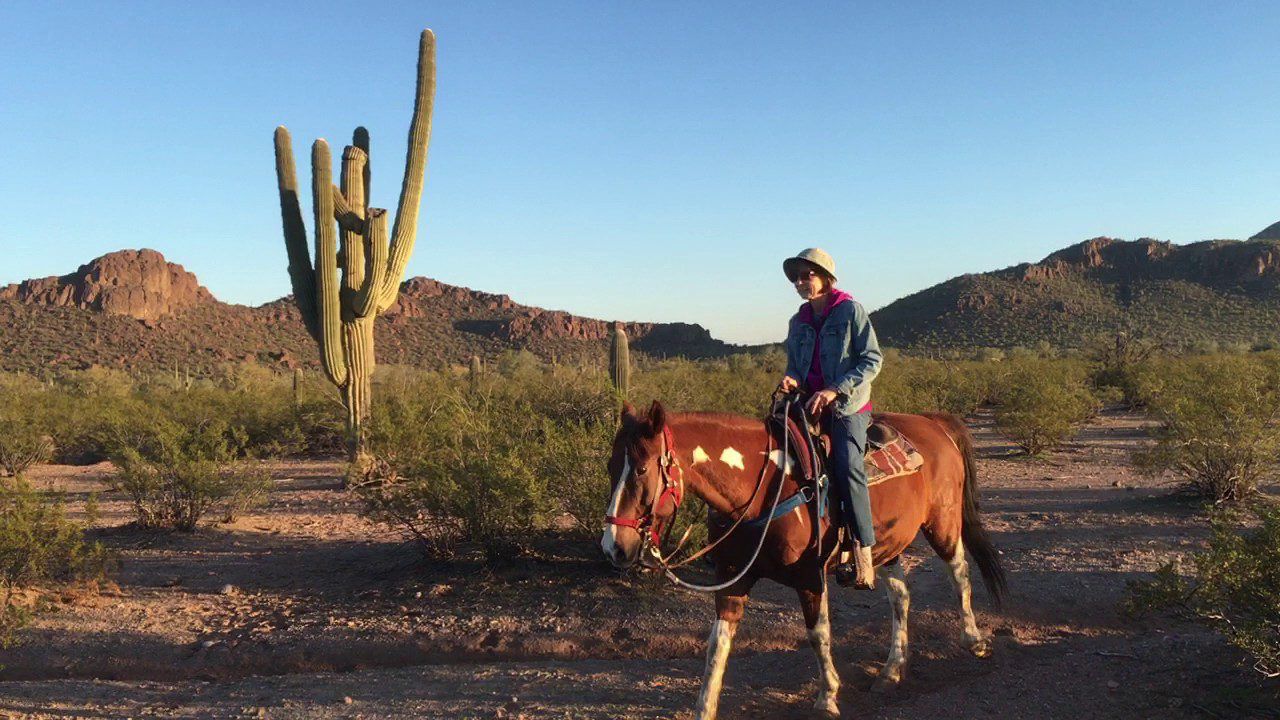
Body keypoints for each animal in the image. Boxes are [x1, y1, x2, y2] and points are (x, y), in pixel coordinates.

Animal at [599, 397, 1008, 717]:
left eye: (641, 468)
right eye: (609, 466)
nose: (613, 546)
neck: (765, 486)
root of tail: (932, 422)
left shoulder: (810, 576)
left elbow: (817, 634)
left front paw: (827, 697)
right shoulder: (732, 579)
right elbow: (717, 646)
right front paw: (705, 707)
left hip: (943, 523)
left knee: (959, 573)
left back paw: (974, 640)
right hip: (886, 543)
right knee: (901, 597)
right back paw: (892, 670)